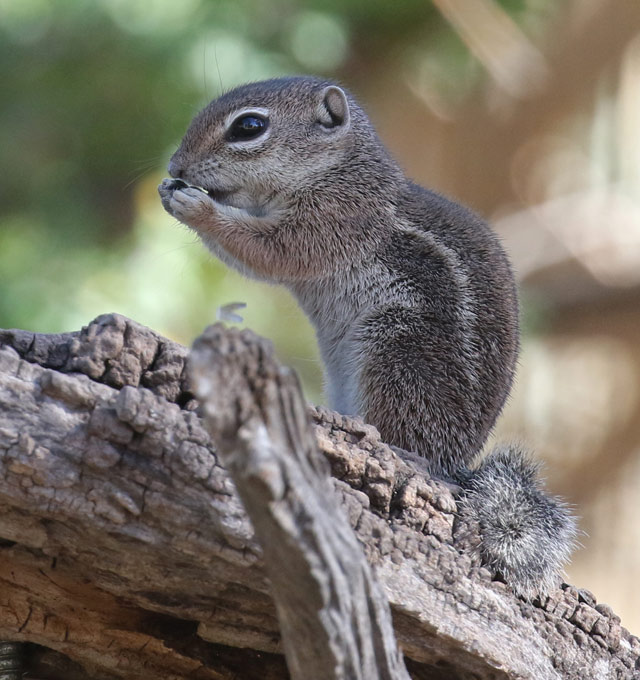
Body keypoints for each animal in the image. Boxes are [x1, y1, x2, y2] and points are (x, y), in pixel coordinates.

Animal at [158, 76, 577, 598]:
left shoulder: (334, 219)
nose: (175, 166)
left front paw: (194, 205)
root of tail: (455, 461)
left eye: (248, 127)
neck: (339, 170)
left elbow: (267, 251)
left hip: (394, 349)